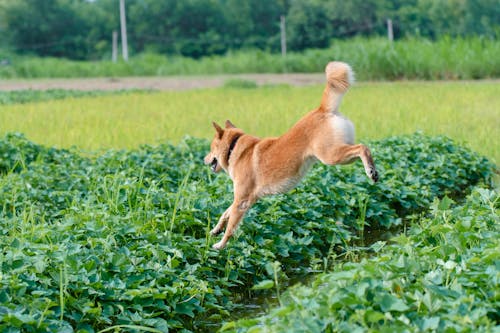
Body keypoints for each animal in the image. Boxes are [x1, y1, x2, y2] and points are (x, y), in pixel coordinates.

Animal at [205, 62, 376, 249]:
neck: (234, 147)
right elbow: (225, 214)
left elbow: (231, 226)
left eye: (210, 148)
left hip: (331, 155)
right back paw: (373, 170)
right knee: (362, 148)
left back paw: (371, 172)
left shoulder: (241, 201)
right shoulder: (244, 200)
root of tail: (322, 109)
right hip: (339, 153)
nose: (204, 159)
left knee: (362, 148)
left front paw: (220, 245)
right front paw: (214, 230)